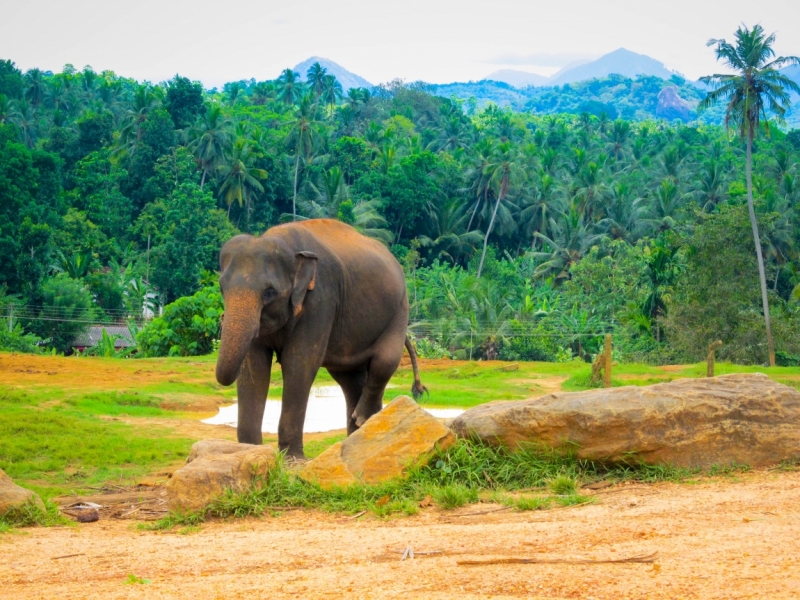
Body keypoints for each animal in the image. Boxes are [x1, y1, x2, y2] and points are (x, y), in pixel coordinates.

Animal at [212, 220, 424, 460]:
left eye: (269, 292)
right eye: (221, 288)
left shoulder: (320, 300)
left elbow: (299, 363)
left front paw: (292, 461)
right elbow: (253, 367)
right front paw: (251, 452)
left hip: (399, 311)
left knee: (384, 362)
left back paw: (362, 420)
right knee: (350, 379)